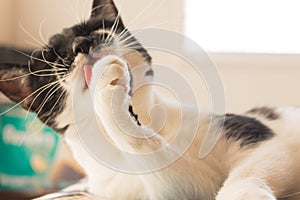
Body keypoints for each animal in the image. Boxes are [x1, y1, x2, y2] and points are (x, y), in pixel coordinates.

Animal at [0, 0, 300, 200]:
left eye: (97, 32)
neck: (147, 120)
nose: (82, 44)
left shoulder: (258, 137)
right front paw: (109, 85)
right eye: (55, 58)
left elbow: (250, 169)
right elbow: (156, 157)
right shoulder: (168, 189)